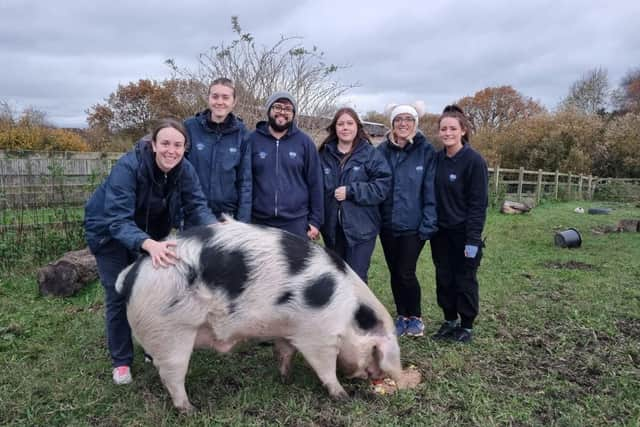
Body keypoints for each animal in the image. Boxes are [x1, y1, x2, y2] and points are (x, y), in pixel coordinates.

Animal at [115, 219, 402, 412]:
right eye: (375, 349)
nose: (373, 377)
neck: (347, 312)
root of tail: (130, 276)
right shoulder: (319, 336)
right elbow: (325, 368)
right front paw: (341, 396)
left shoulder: (288, 327)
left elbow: (284, 351)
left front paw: (285, 379)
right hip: (171, 331)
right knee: (172, 374)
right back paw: (190, 409)